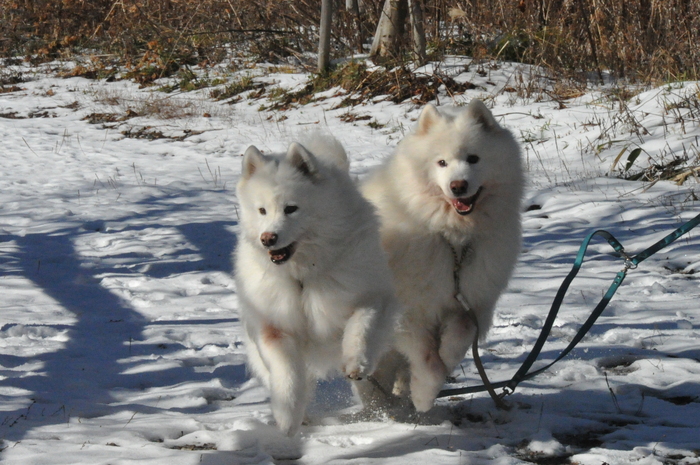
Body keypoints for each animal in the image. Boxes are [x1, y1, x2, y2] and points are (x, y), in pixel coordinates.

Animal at [235, 133, 400, 436]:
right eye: (262, 210)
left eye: (291, 209)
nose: (268, 238)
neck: (302, 274)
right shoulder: (274, 327)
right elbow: (288, 375)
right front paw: (287, 419)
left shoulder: (372, 296)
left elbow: (362, 327)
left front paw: (355, 362)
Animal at [364, 99, 524, 412]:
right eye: (441, 163)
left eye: (473, 158)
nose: (458, 186)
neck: (452, 240)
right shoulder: (410, 312)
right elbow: (428, 361)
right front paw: (425, 395)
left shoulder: (472, 302)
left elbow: (456, 343)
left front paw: (435, 371)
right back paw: (377, 403)